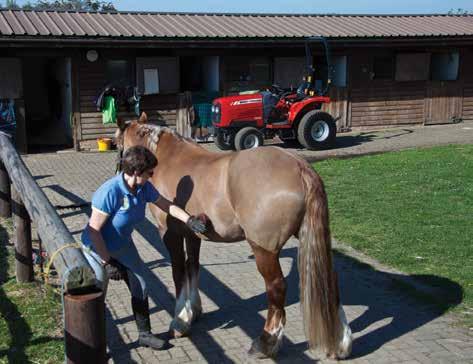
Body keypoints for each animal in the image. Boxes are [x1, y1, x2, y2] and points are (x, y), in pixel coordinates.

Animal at [114, 113, 350, 358]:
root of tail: (300, 167)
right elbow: (192, 268)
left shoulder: (170, 234)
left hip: (264, 249)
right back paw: (341, 342)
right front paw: (194, 311)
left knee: (276, 287)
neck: (169, 160)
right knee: (329, 280)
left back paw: (265, 343)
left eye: (117, 143)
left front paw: (180, 321)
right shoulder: (193, 234)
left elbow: (178, 273)